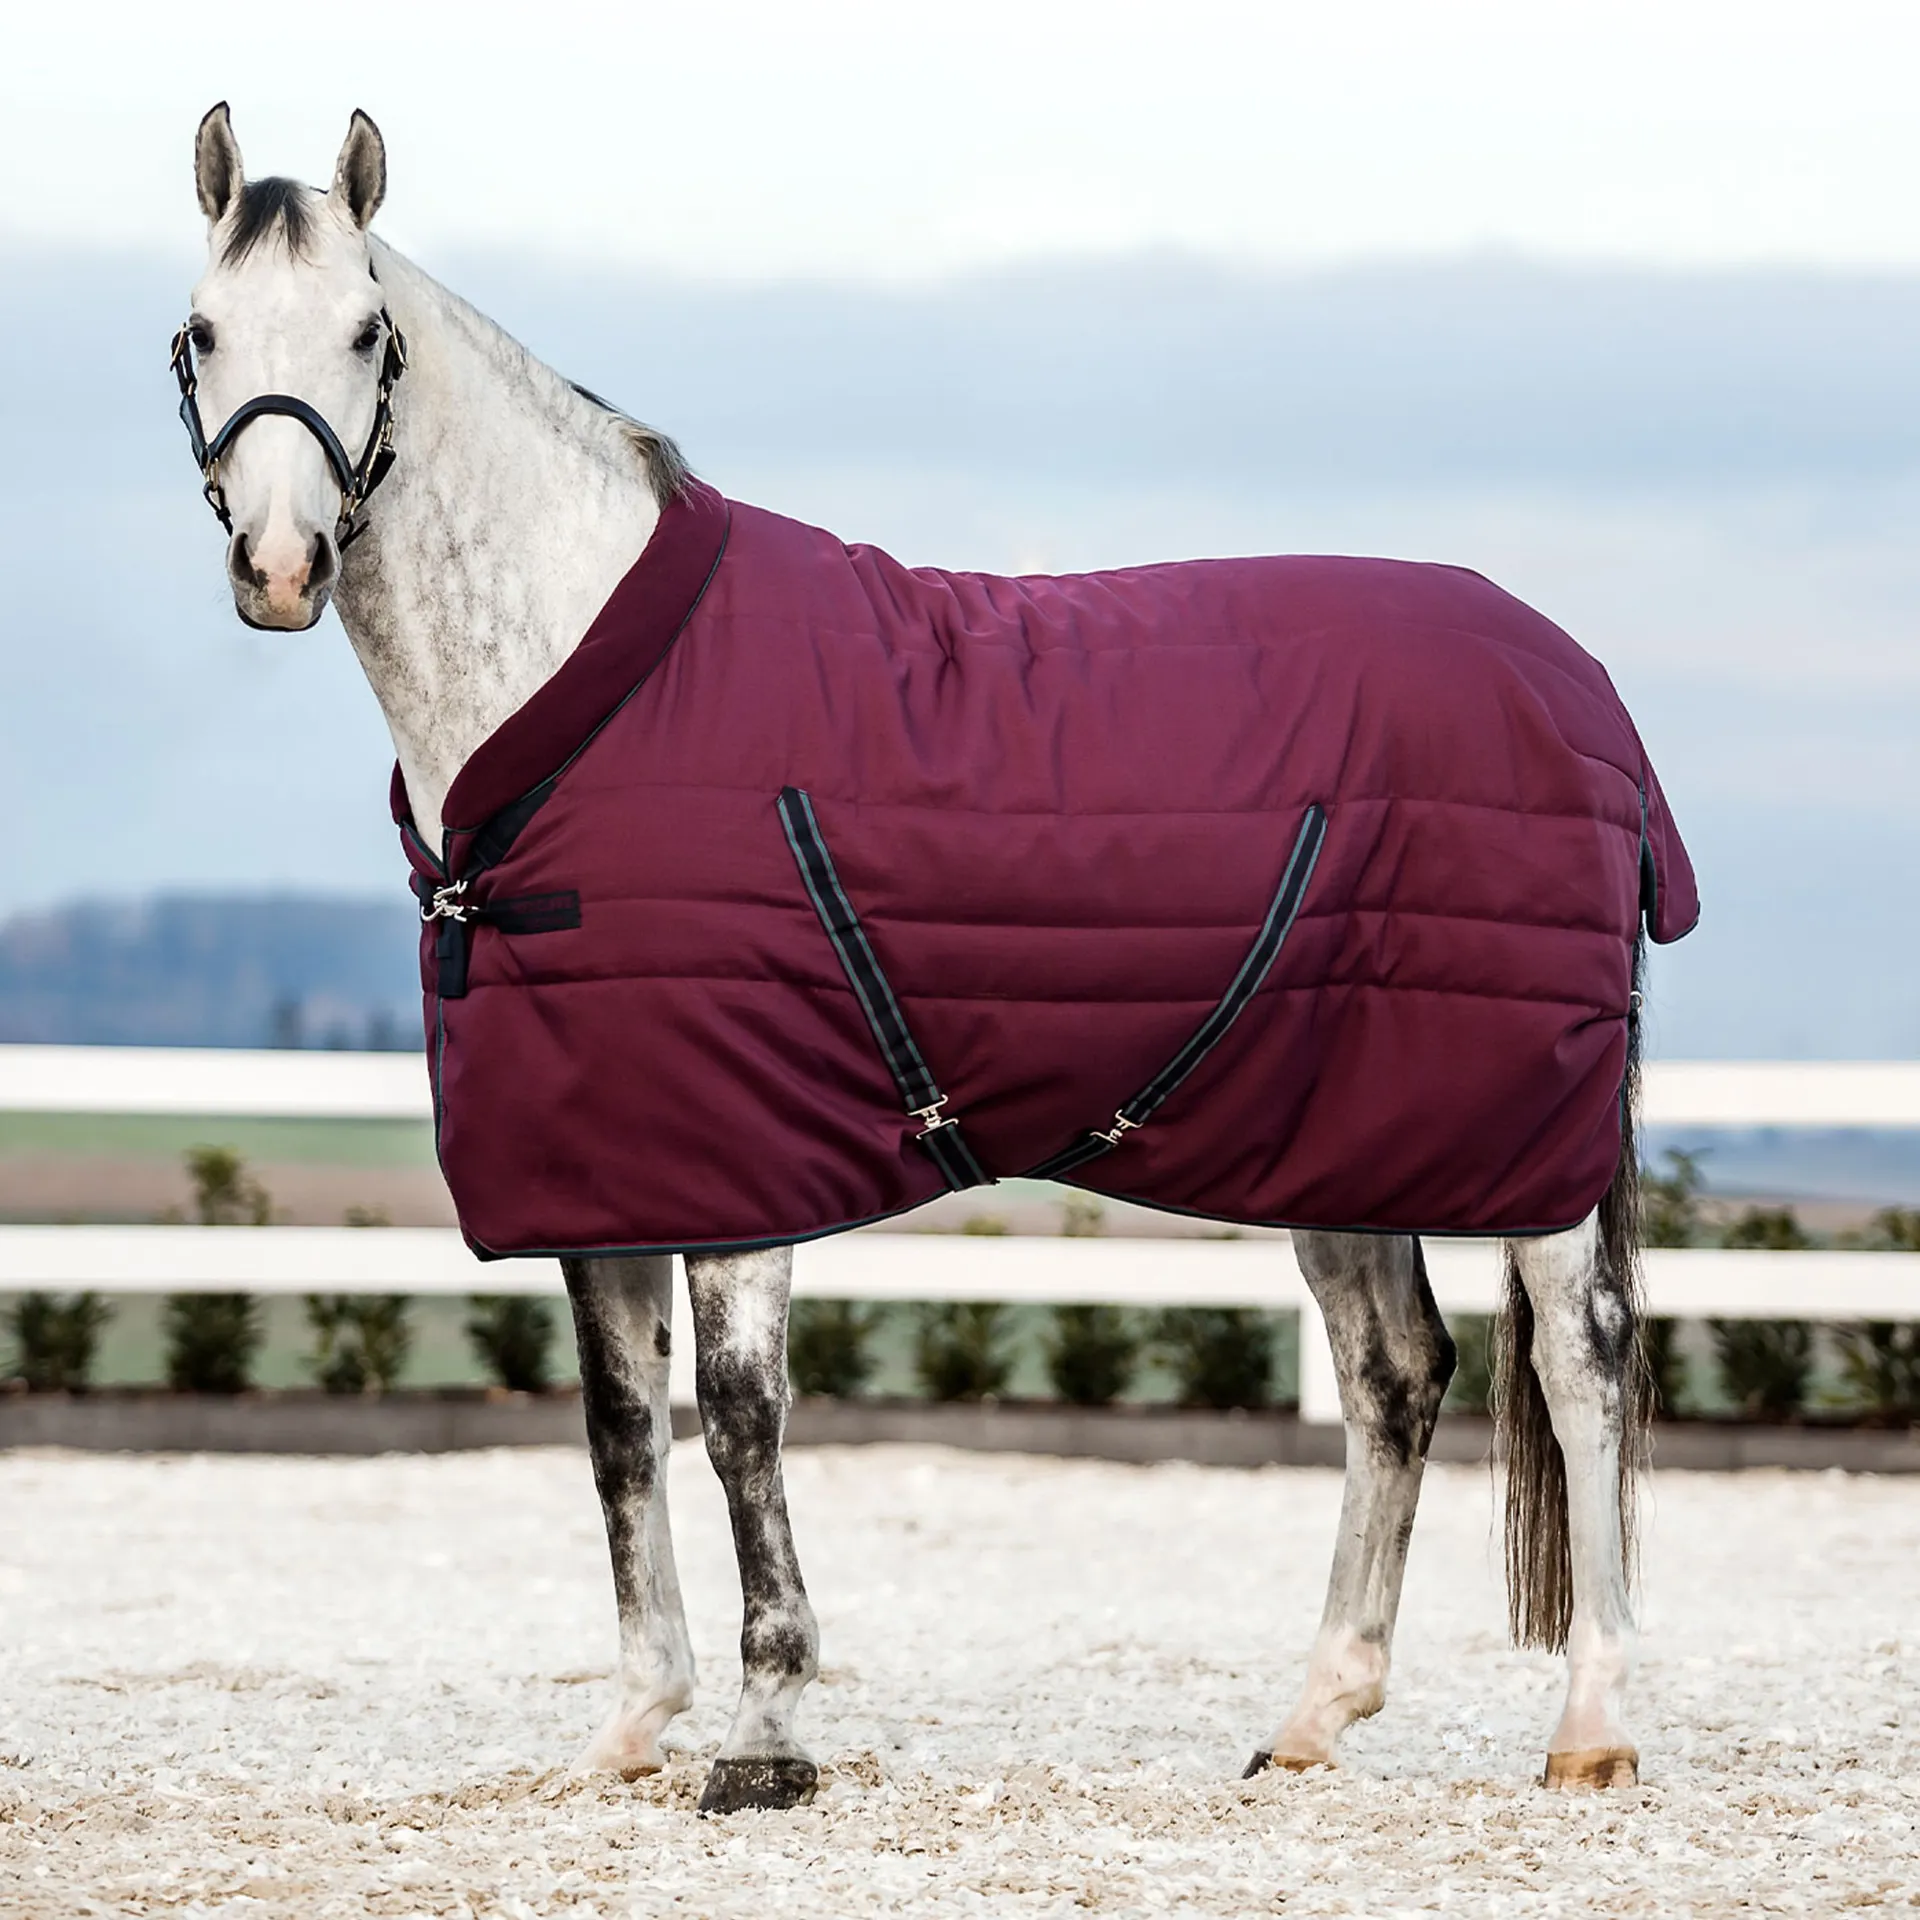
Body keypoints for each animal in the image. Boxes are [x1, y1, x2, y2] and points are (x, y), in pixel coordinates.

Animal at [172, 104, 1688, 1815]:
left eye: (369, 331)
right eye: (202, 332)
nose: (282, 565)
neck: (595, 695)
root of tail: (1581, 689)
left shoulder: (738, 1160)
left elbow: (741, 1424)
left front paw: (765, 1739)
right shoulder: (604, 1163)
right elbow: (622, 1428)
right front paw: (632, 1728)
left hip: (1528, 1157)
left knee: (1582, 1372)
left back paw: (1592, 1728)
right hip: (1346, 1132)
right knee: (1394, 1375)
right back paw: (1312, 1719)